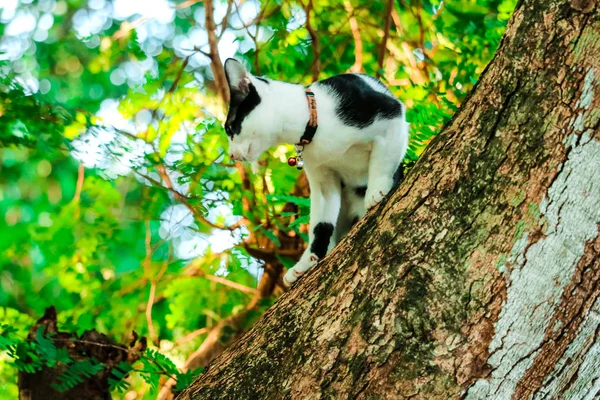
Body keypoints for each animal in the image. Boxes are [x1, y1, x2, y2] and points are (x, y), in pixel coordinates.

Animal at [223, 57, 410, 286]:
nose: (231, 155)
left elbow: (383, 161)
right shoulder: (321, 177)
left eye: (230, 129)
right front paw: (307, 261)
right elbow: (320, 224)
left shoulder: (390, 114)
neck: (312, 123)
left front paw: (377, 190)